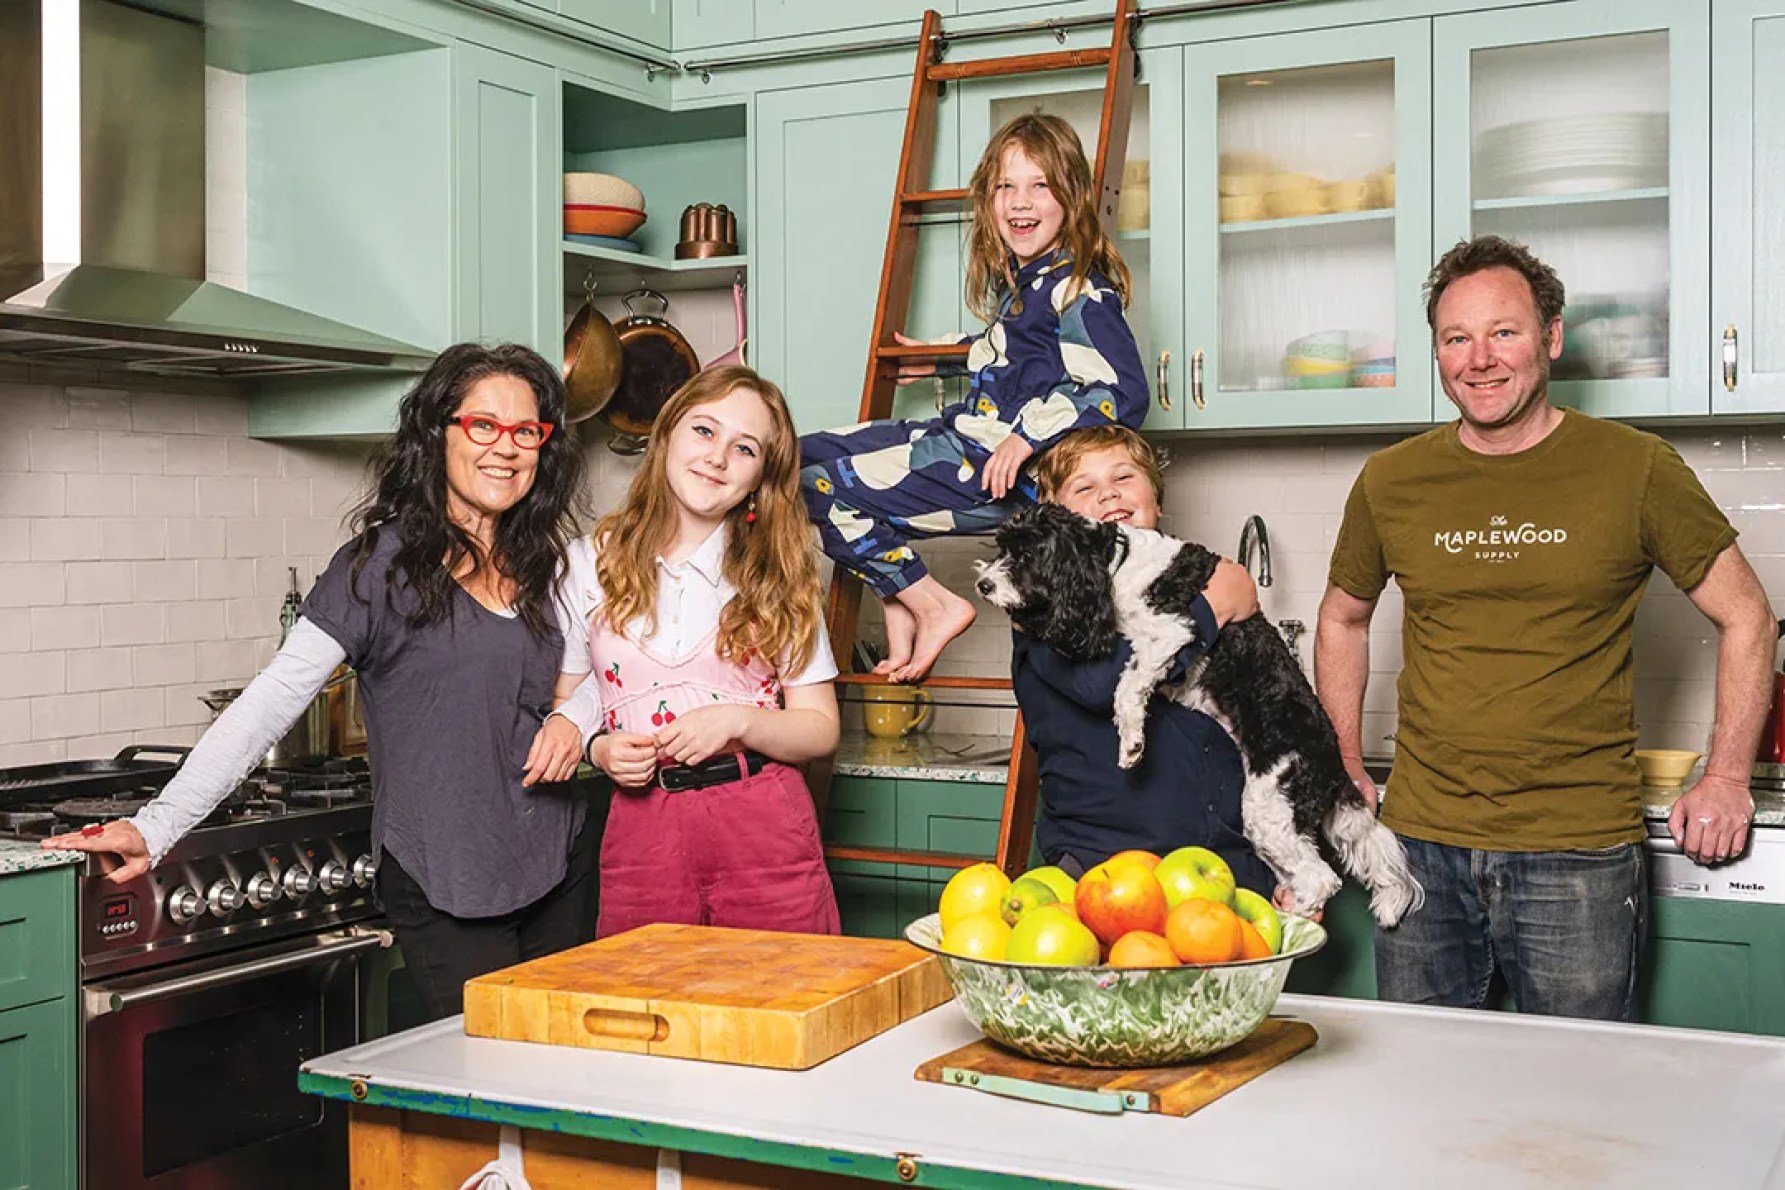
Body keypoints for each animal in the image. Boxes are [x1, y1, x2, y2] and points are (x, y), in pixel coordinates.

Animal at [978, 506, 1420, 927]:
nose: (983, 584)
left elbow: (1126, 686)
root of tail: (1334, 767)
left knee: (1320, 879)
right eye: (1002, 548)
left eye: (1025, 555)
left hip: (1270, 805)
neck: (1114, 563)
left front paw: (1132, 744)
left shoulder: (1172, 630)